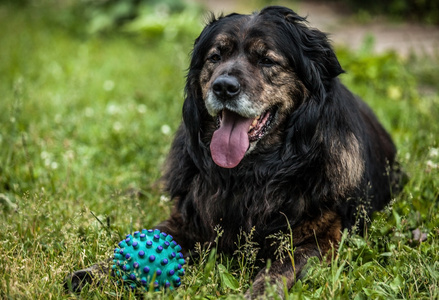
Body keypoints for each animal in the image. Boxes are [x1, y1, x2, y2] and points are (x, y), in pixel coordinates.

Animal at [66, 5, 406, 298]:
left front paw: (260, 292)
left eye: (267, 60)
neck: (252, 172)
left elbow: (278, 271)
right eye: (216, 57)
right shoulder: (188, 218)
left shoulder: (322, 238)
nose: (224, 87)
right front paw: (94, 273)